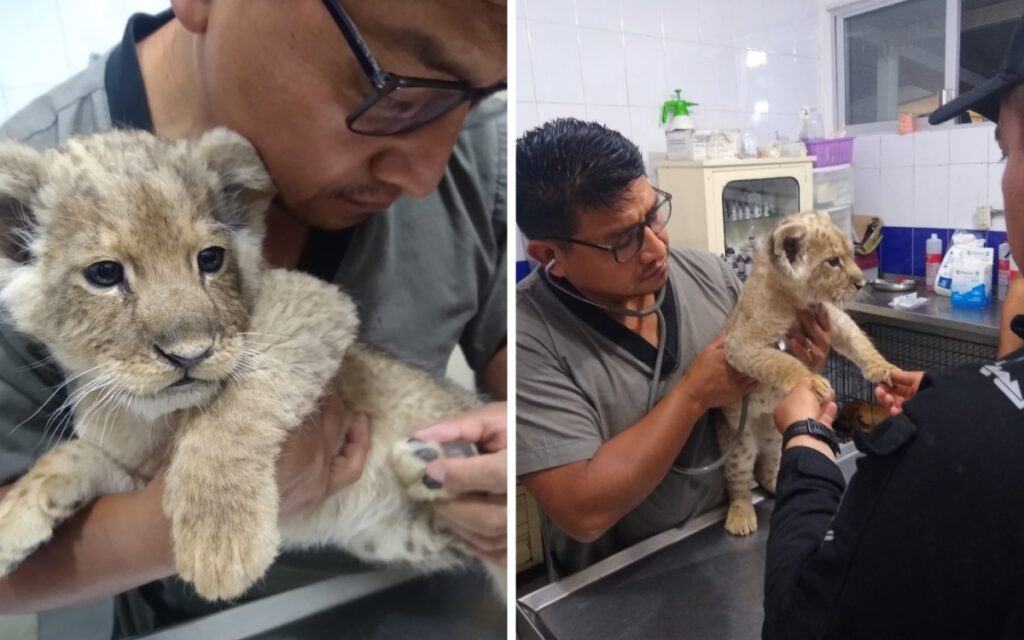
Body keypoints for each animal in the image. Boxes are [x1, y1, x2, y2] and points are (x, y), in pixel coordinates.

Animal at [718, 211, 894, 536]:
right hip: (739, 442)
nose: (862, 283)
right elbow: (779, 361)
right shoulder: (740, 344)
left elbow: (859, 341)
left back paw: (778, 484)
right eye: (833, 262)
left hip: (775, 437)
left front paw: (884, 368)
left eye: (850, 255)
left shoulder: (832, 317)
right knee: (739, 481)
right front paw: (812, 381)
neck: (797, 301)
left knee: (767, 467)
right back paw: (741, 516)